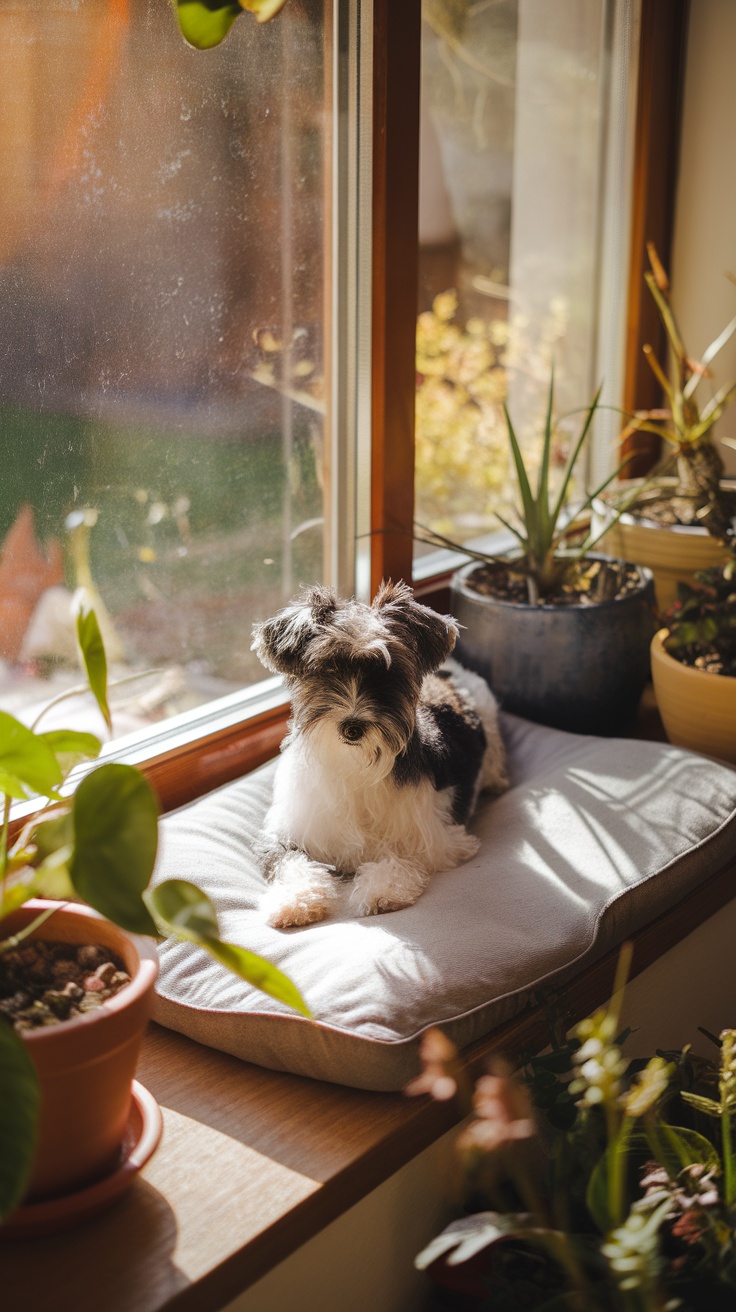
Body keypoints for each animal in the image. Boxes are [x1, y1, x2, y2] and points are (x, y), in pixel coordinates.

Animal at [250, 579, 503, 928]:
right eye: (327, 668)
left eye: (387, 674)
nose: (352, 727)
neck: (355, 765)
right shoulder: (286, 835)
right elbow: (292, 864)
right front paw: (296, 901)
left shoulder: (437, 839)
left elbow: (399, 858)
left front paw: (382, 890)